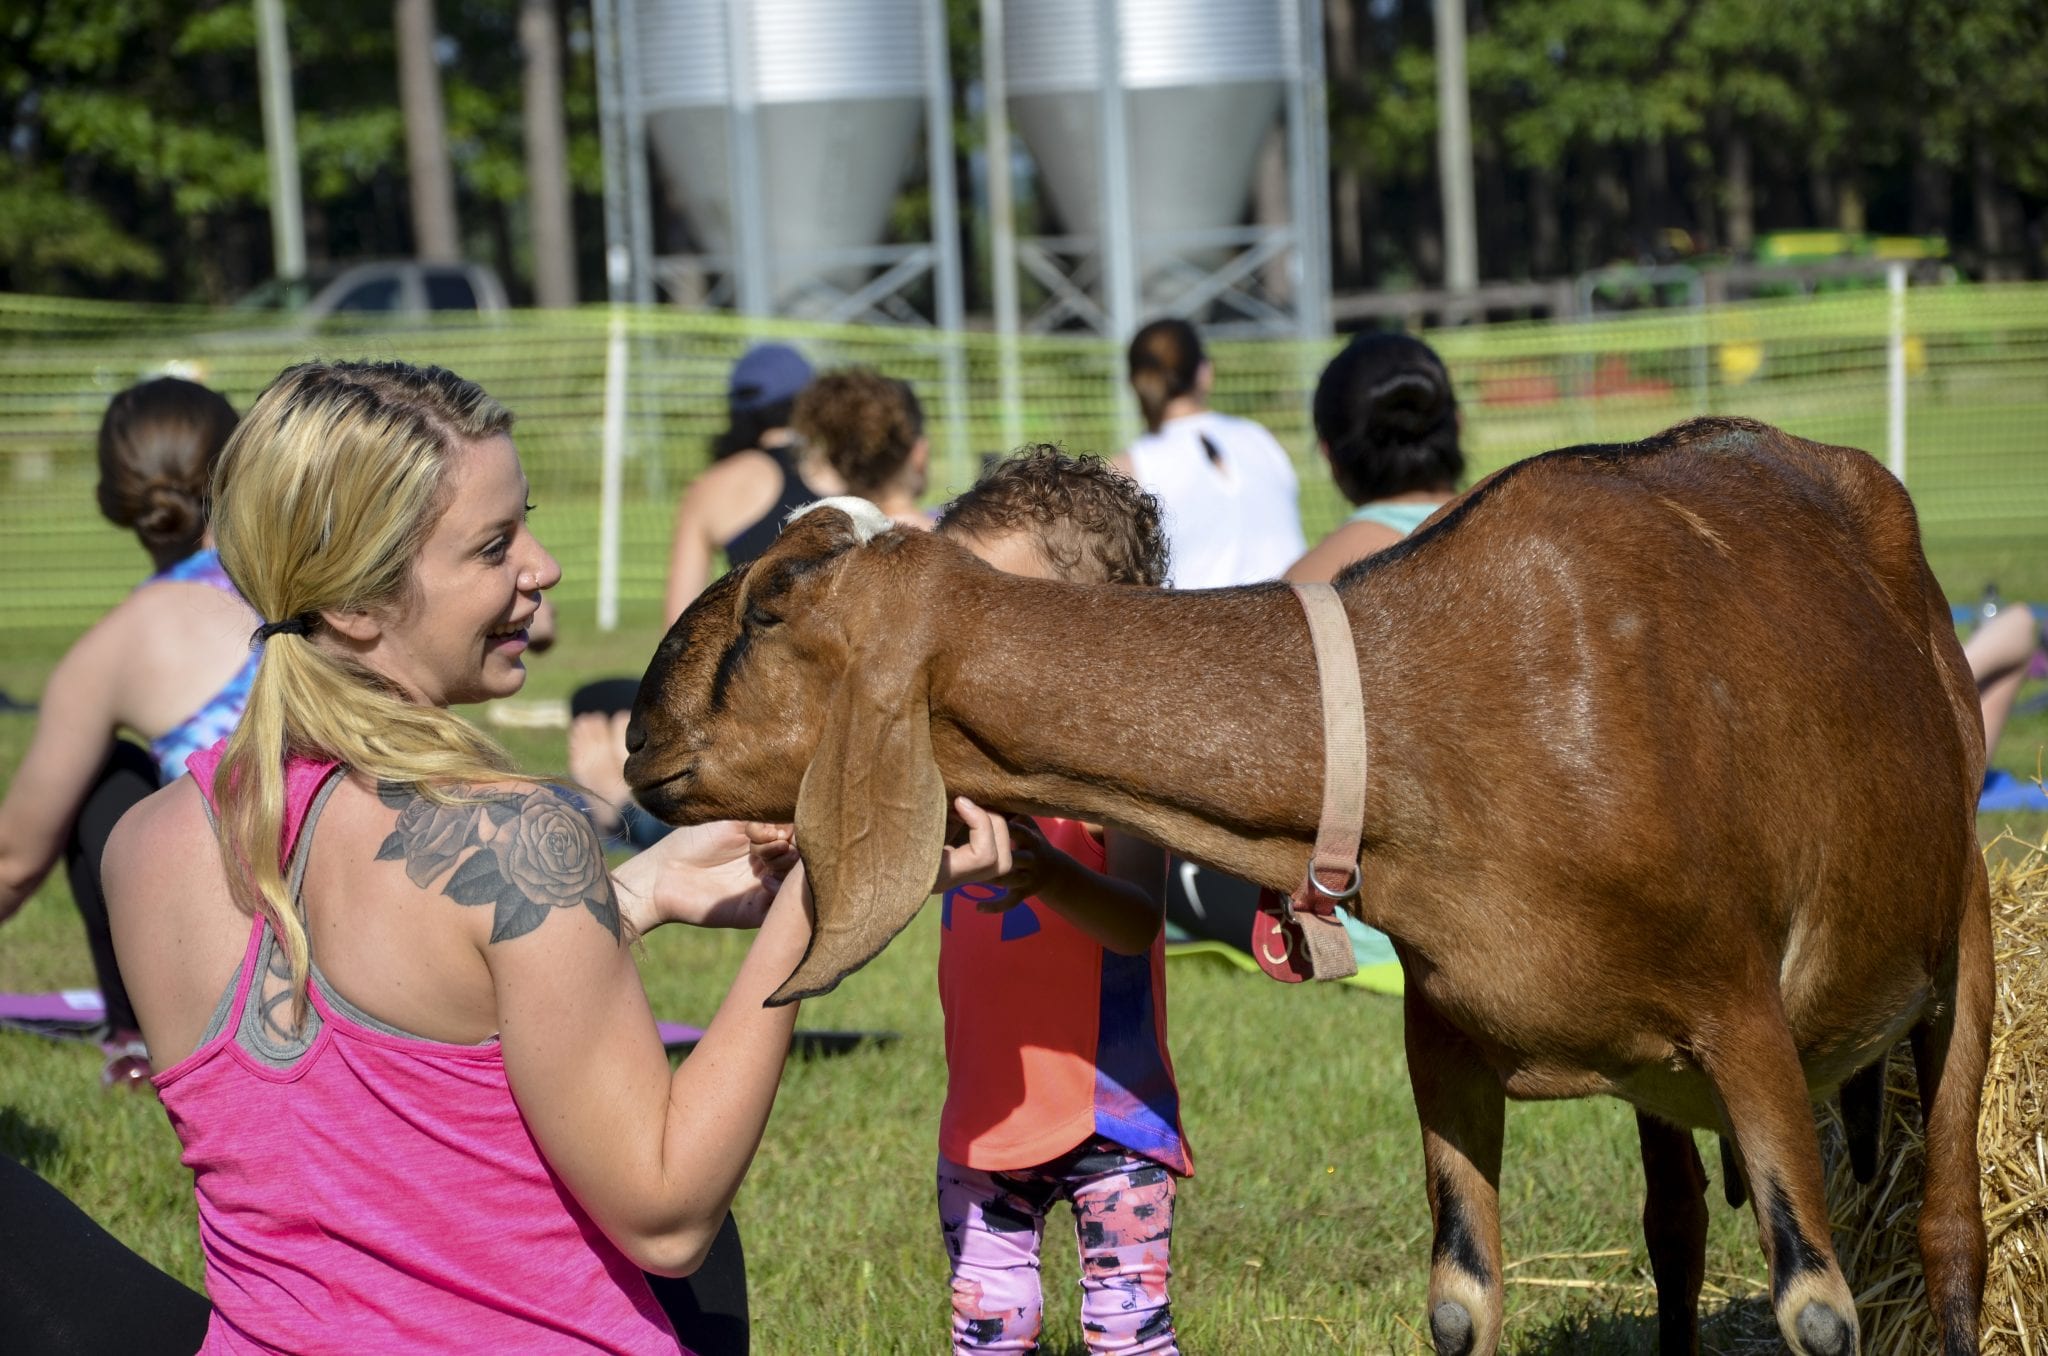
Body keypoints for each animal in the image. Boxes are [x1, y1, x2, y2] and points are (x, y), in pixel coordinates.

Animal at [626, 419, 1998, 1356]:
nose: (639, 739)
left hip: (1957, 944)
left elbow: (1815, 1304)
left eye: (768, 603)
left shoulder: (1741, 1018)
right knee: (1671, 1226)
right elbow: (1458, 1299)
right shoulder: (1445, 1042)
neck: (1410, 719)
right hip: (1657, 1078)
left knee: (1946, 1230)